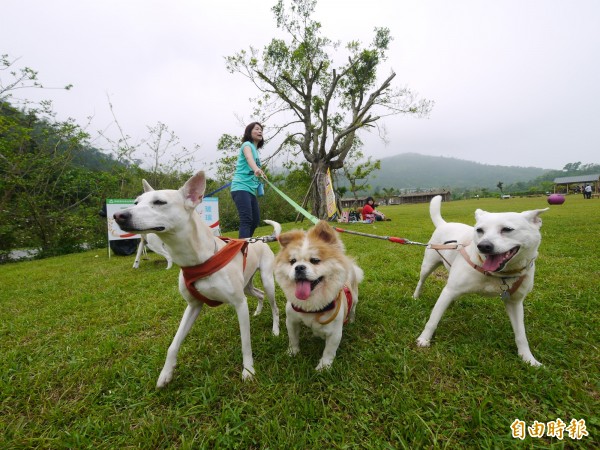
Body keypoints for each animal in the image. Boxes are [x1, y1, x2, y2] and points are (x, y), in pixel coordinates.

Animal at [268, 220, 366, 370]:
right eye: (293, 262)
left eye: (314, 260)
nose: (299, 267)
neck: (311, 305)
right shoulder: (291, 321)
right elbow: (293, 339)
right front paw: (292, 353)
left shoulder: (335, 332)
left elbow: (329, 351)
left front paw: (323, 368)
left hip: (354, 298)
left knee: (353, 309)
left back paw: (351, 320)